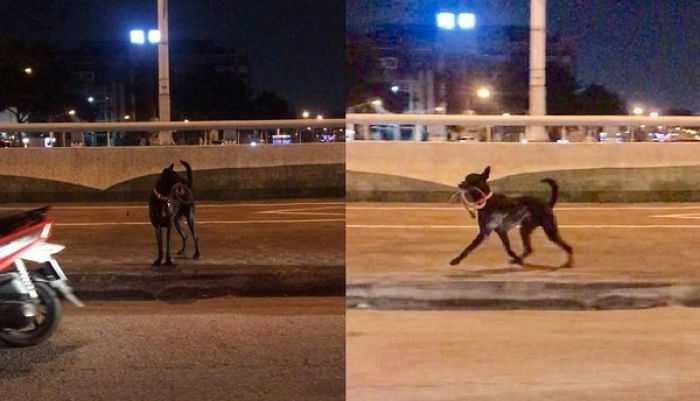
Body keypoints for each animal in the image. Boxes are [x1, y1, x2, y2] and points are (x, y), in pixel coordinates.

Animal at [448, 166, 576, 268]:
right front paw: (516, 258)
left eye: (470, 179)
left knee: (568, 247)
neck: (487, 201)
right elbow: (508, 249)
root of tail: (548, 204)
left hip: (550, 230)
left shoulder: (485, 232)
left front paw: (456, 260)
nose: (459, 184)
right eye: (465, 178)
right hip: (525, 229)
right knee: (529, 249)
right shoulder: (501, 231)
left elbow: (469, 248)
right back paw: (518, 260)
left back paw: (568, 264)